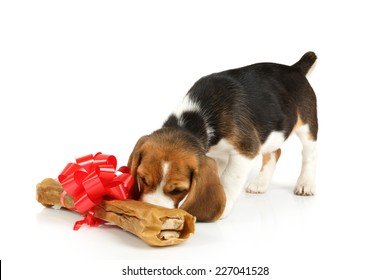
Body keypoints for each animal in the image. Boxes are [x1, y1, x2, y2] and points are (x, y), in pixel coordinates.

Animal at [127, 51, 316, 222]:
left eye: (177, 190)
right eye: (142, 179)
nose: (151, 212)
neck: (198, 118)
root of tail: (294, 68)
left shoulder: (245, 151)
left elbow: (229, 179)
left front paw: (223, 207)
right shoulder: (218, 155)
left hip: (307, 125)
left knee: (309, 154)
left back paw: (305, 184)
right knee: (275, 152)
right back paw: (260, 183)